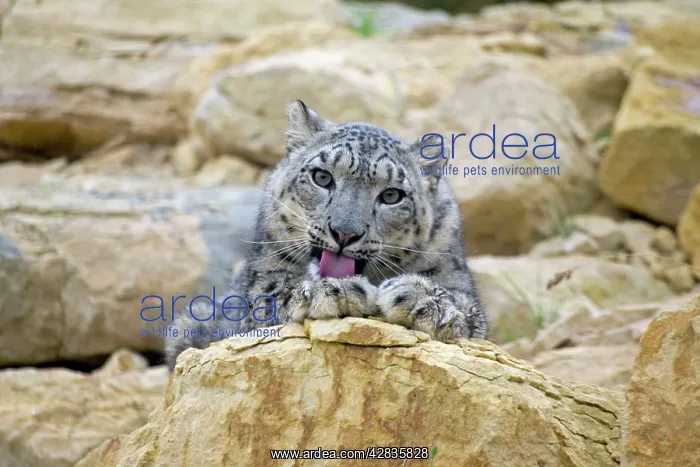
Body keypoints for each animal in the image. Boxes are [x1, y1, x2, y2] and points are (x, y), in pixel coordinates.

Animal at [164, 100, 488, 371]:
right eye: (322, 177)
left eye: (392, 195)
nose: (345, 233)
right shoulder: (252, 290)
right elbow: (272, 292)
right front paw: (338, 290)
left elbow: (464, 307)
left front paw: (421, 299)